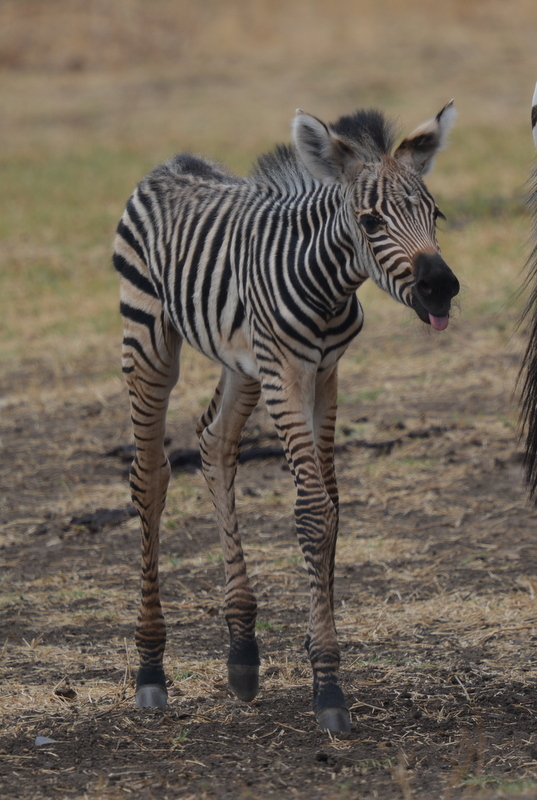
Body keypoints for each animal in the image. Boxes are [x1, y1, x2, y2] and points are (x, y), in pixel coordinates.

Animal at [113, 100, 456, 732]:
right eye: (371, 221)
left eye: (435, 213)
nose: (441, 288)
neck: (326, 283)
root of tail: (173, 164)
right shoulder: (287, 373)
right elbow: (314, 510)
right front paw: (328, 686)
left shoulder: (326, 373)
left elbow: (334, 504)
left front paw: (314, 656)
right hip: (148, 337)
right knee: (149, 476)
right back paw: (151, 669)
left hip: (241, 361)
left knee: (214, 444)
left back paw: (243, 652)